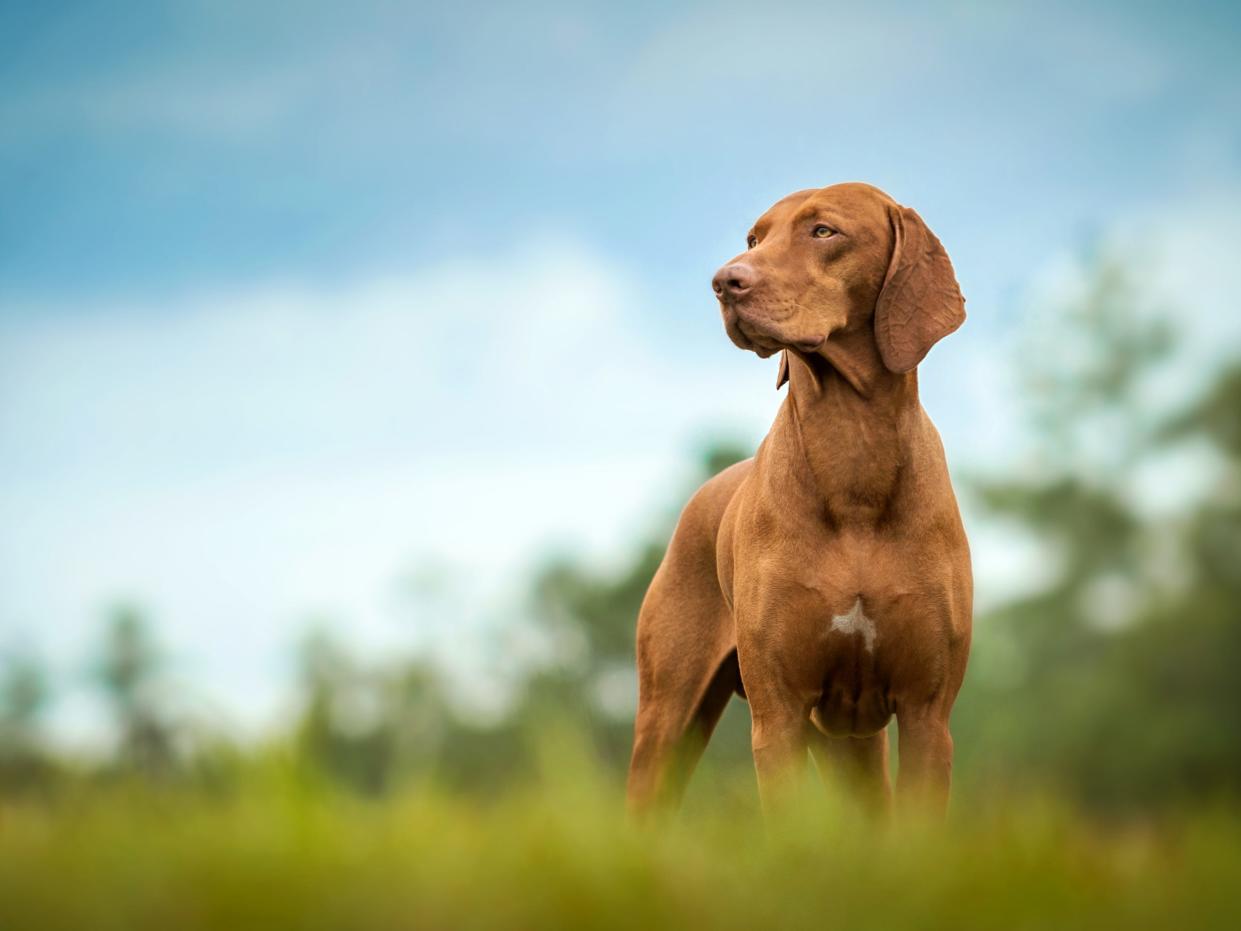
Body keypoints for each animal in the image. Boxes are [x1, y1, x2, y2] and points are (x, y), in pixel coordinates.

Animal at [630, 179, 967, 814]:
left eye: (823, 231)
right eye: (753, 239)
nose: (725, 281)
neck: (852, 450)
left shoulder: (926, 714)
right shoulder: (778, 714)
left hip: (853, 743)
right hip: (669, 717)